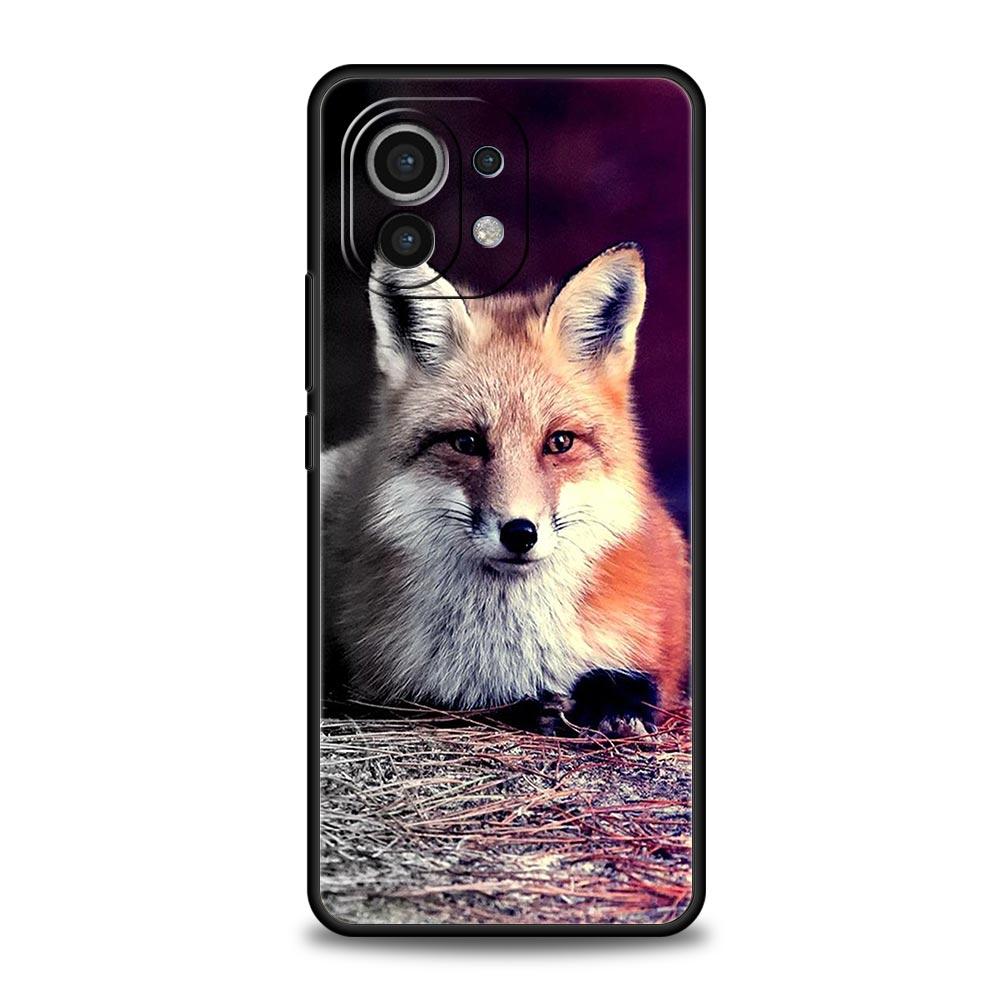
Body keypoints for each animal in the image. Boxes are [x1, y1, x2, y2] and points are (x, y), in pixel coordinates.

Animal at [321, 243, 689, 736]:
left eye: (559, 442)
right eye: (467, 442)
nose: (520, 533)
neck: (509, 650)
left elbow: (640, 680)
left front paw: (612, 705)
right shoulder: (386, 687)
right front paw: (534, 706)